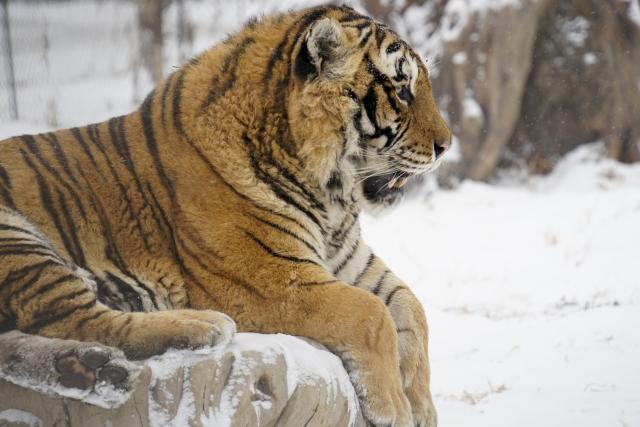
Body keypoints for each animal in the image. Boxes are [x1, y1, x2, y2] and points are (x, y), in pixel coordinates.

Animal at [0, 5, 451, 426]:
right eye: (402, 91)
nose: (446, 146)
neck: (331, 201)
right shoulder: (269, 280)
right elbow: (370, 314)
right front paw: (395, 409)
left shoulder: (350, 265)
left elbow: (411, 309)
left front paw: (421, 406)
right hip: (17, 237)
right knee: (71, 318)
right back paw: (197, 328)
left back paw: (88, 369)